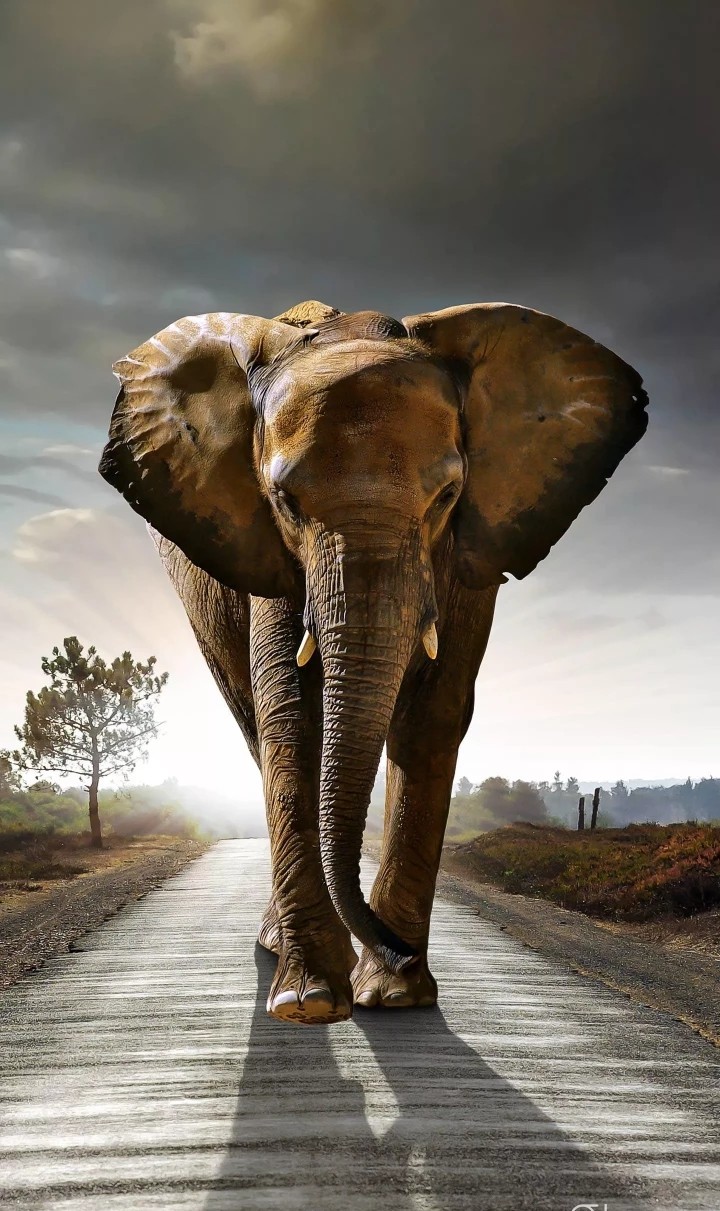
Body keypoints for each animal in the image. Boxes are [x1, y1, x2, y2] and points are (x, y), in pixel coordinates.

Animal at [99, 298, 647, 1025]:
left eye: (447, 496)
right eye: (285, 501)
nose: (399, 950)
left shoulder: (469, 553)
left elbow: (434, 715)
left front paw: (395, 995)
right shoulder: (269, 554)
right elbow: (292, 716)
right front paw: (310, 1002)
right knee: (253, 725)